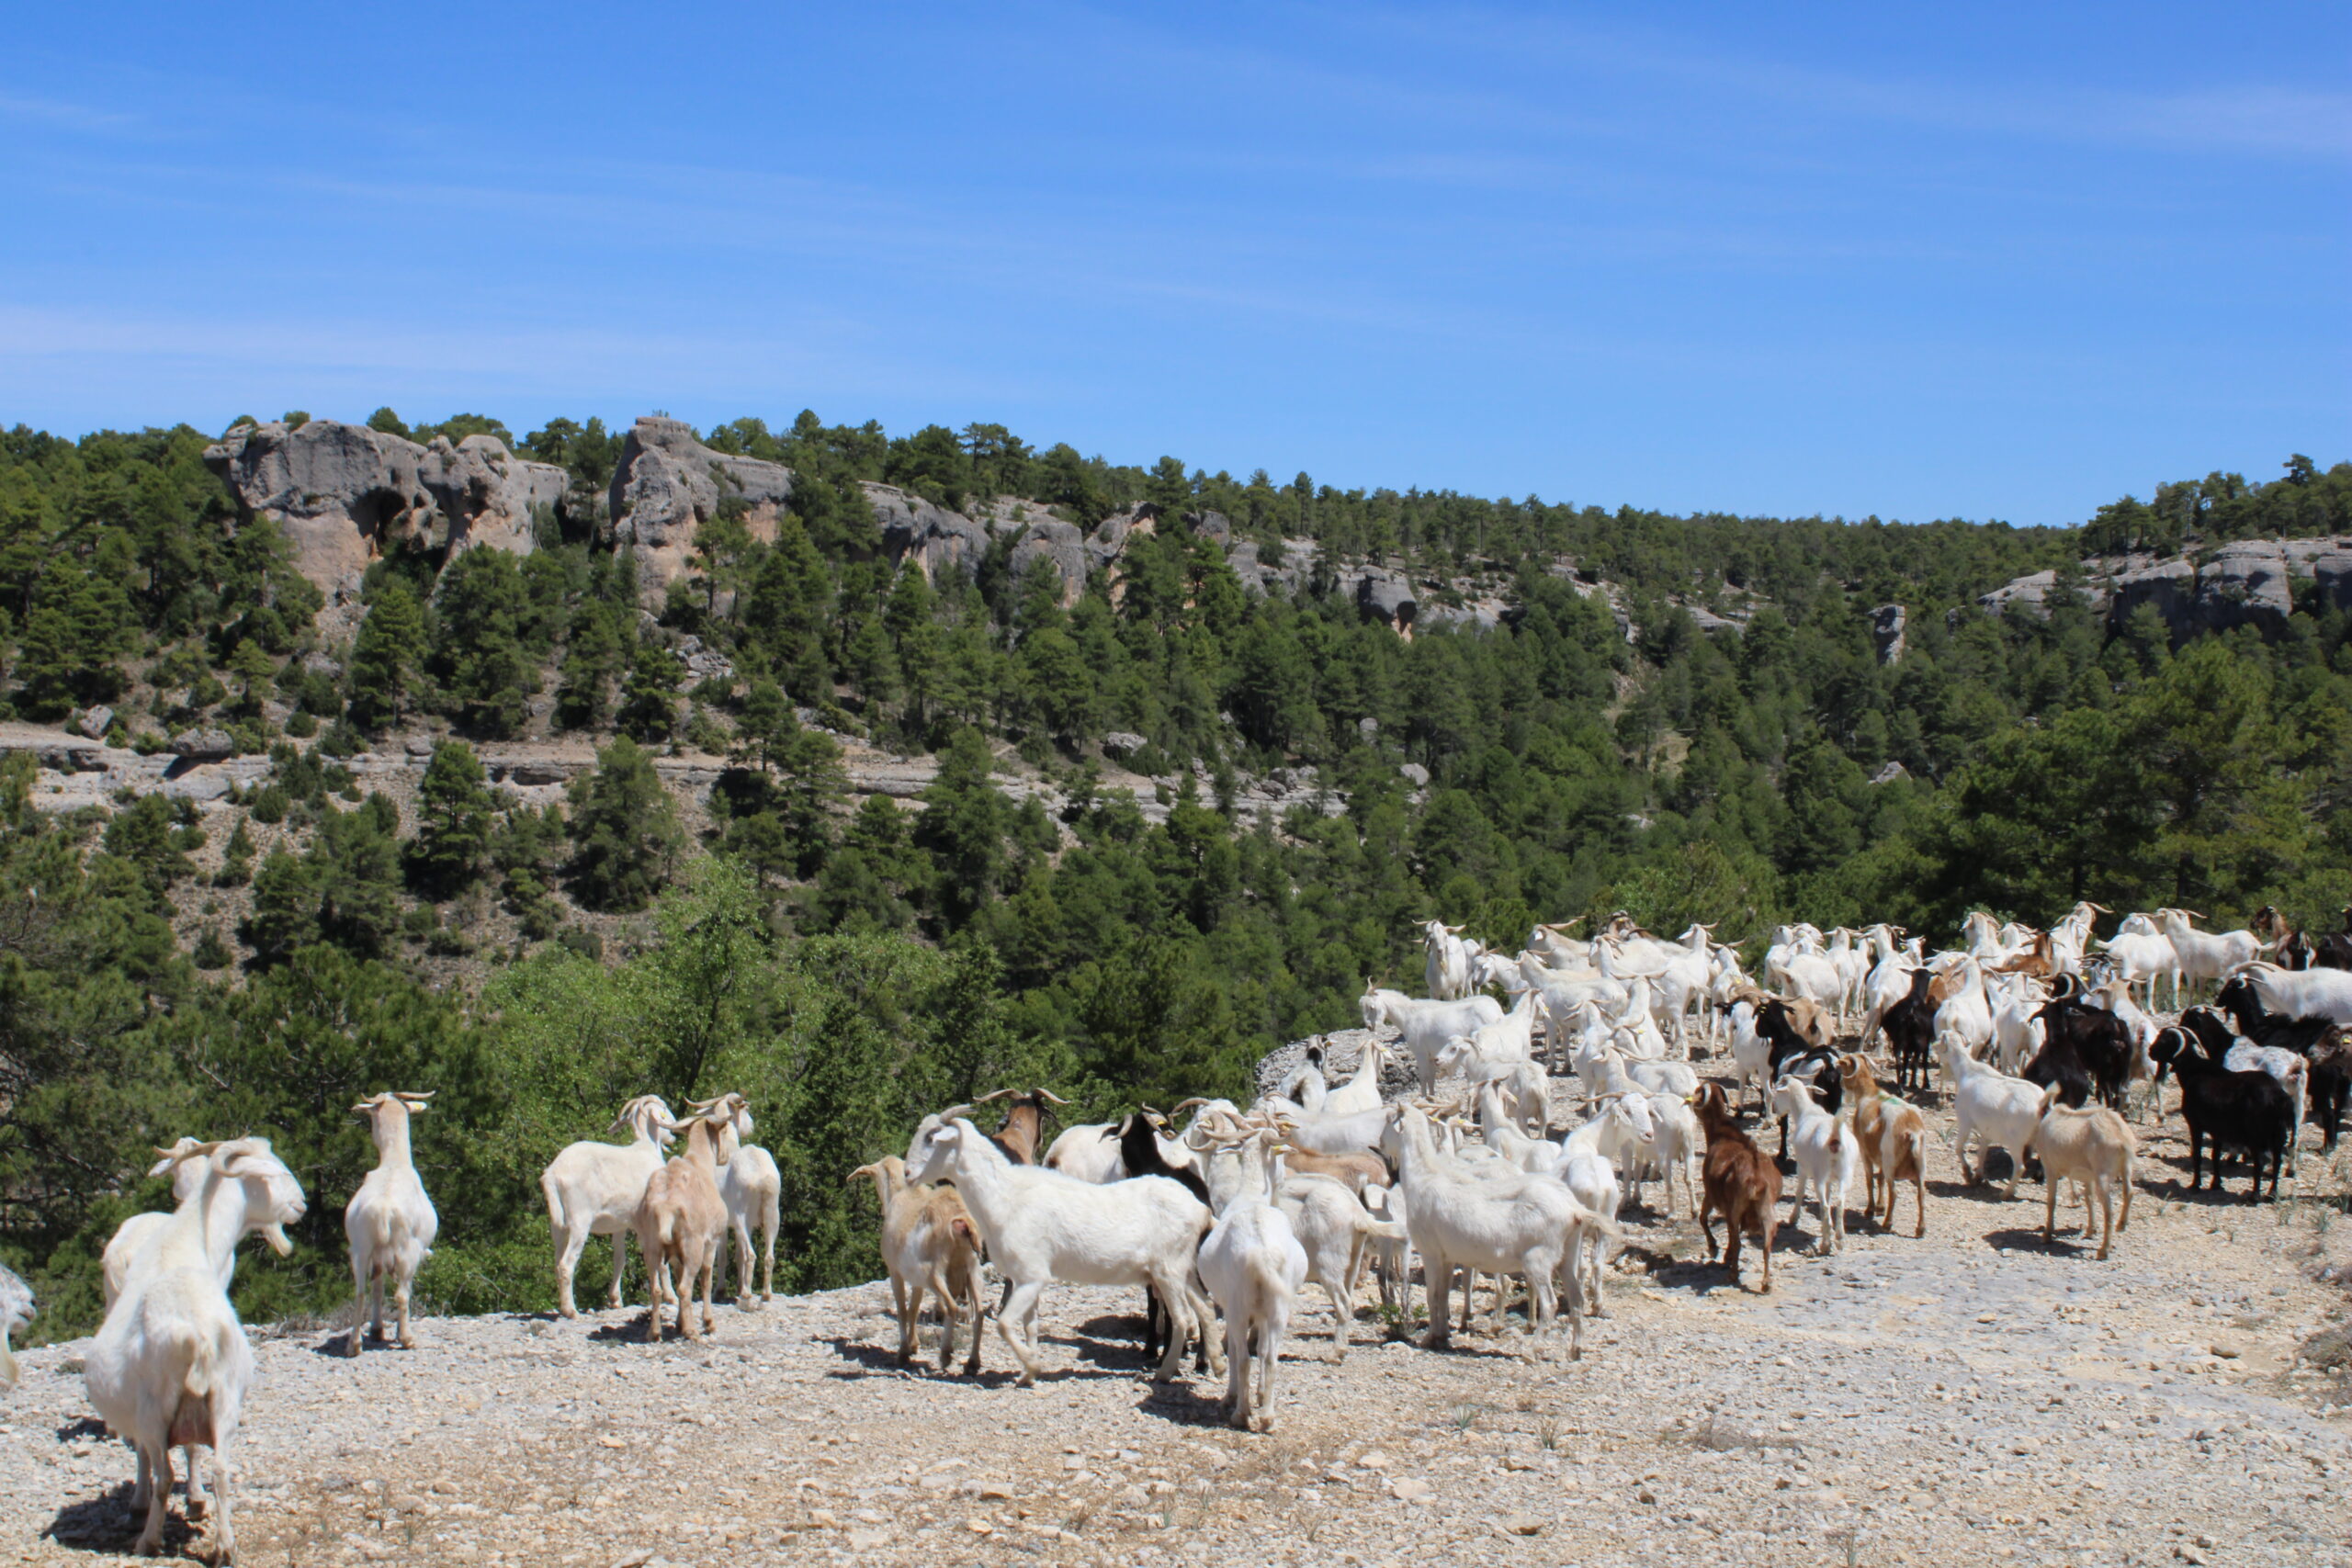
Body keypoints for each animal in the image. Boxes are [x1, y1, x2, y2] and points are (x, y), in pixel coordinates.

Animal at [1693, 1086, 1778, 1297]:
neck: (1722, 1135)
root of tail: (1756, 1178)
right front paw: (1725, 1255)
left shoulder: (1711, 1196)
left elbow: (1703, 1218)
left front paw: (1714, 1249)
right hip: (1766, 1209)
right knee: (1766, 1244)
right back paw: (1766, 1284)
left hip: (1736, 1208)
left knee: (1739, 1241)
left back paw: (1733, 1274)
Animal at [1834, 1053, 1928, 1241]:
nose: (1841, 1084)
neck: (1870, 1094)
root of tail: (1912, 1131)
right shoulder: (1880, 1157)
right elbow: (1880, 1179)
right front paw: (1879, 1207)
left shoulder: (1865, 1153)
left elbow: (1870, 1180)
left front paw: (1871, 1210)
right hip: (1919, 1164)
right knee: (1921, 1194)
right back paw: (1920, 1229)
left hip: (1891, 1161)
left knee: (1895, 1192)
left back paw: (1887, 1224)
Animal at [2154, 1043, 2286, 1203]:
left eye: (2163, 1042)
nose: (2150, 1052)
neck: (2194, 1071)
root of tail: (2276, 1096)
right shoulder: (2217, 1131)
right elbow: (2215, 1155)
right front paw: (2216, 1184)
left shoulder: (2195, 1124)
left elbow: (2197, 1154)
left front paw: (2195, 1185)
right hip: (2278, 1135)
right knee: (2277, 1162)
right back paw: (2272, 1194)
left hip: (2256, 1136)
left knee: (2260, 1161)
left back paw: (2254, 1196)